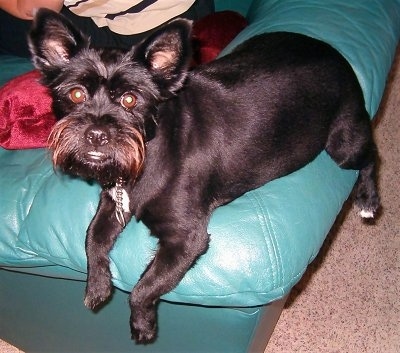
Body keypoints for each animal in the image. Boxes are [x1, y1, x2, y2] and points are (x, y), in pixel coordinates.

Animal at [29, 8, 380, 342]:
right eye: (75, 94)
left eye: (130, 99)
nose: (97, 133)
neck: (150, 151)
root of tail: (334, 53)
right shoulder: (113, 203)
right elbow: (92, 238)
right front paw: (98, 286)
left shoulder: (187, 238)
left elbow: (144, 287)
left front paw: (142, 325)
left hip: (343, 145)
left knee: (370, 156)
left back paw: (368, 201)